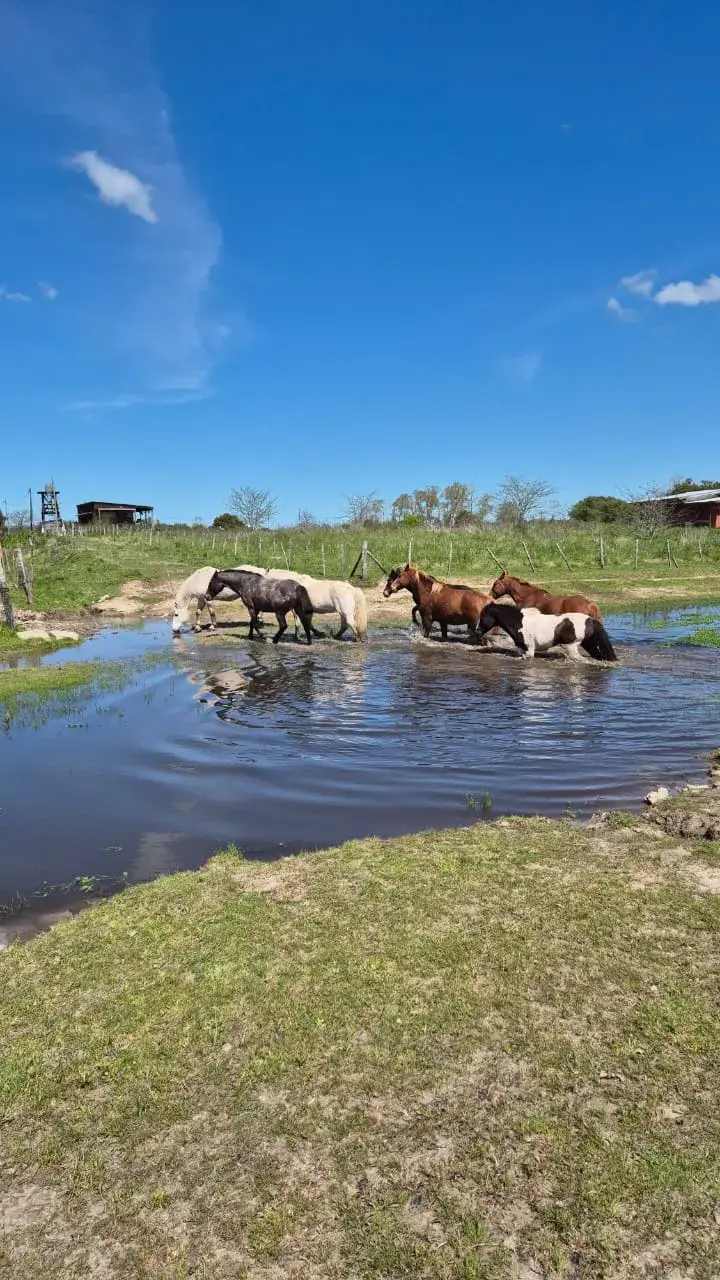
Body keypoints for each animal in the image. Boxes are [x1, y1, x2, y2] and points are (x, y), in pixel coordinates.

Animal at [477, 602, 617, 662]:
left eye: (483, 615)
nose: (477, 630)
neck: (519, 623)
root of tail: (591, 620)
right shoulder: (522, 649)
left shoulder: (530, 649)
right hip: (588, 644)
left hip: (572, 646)